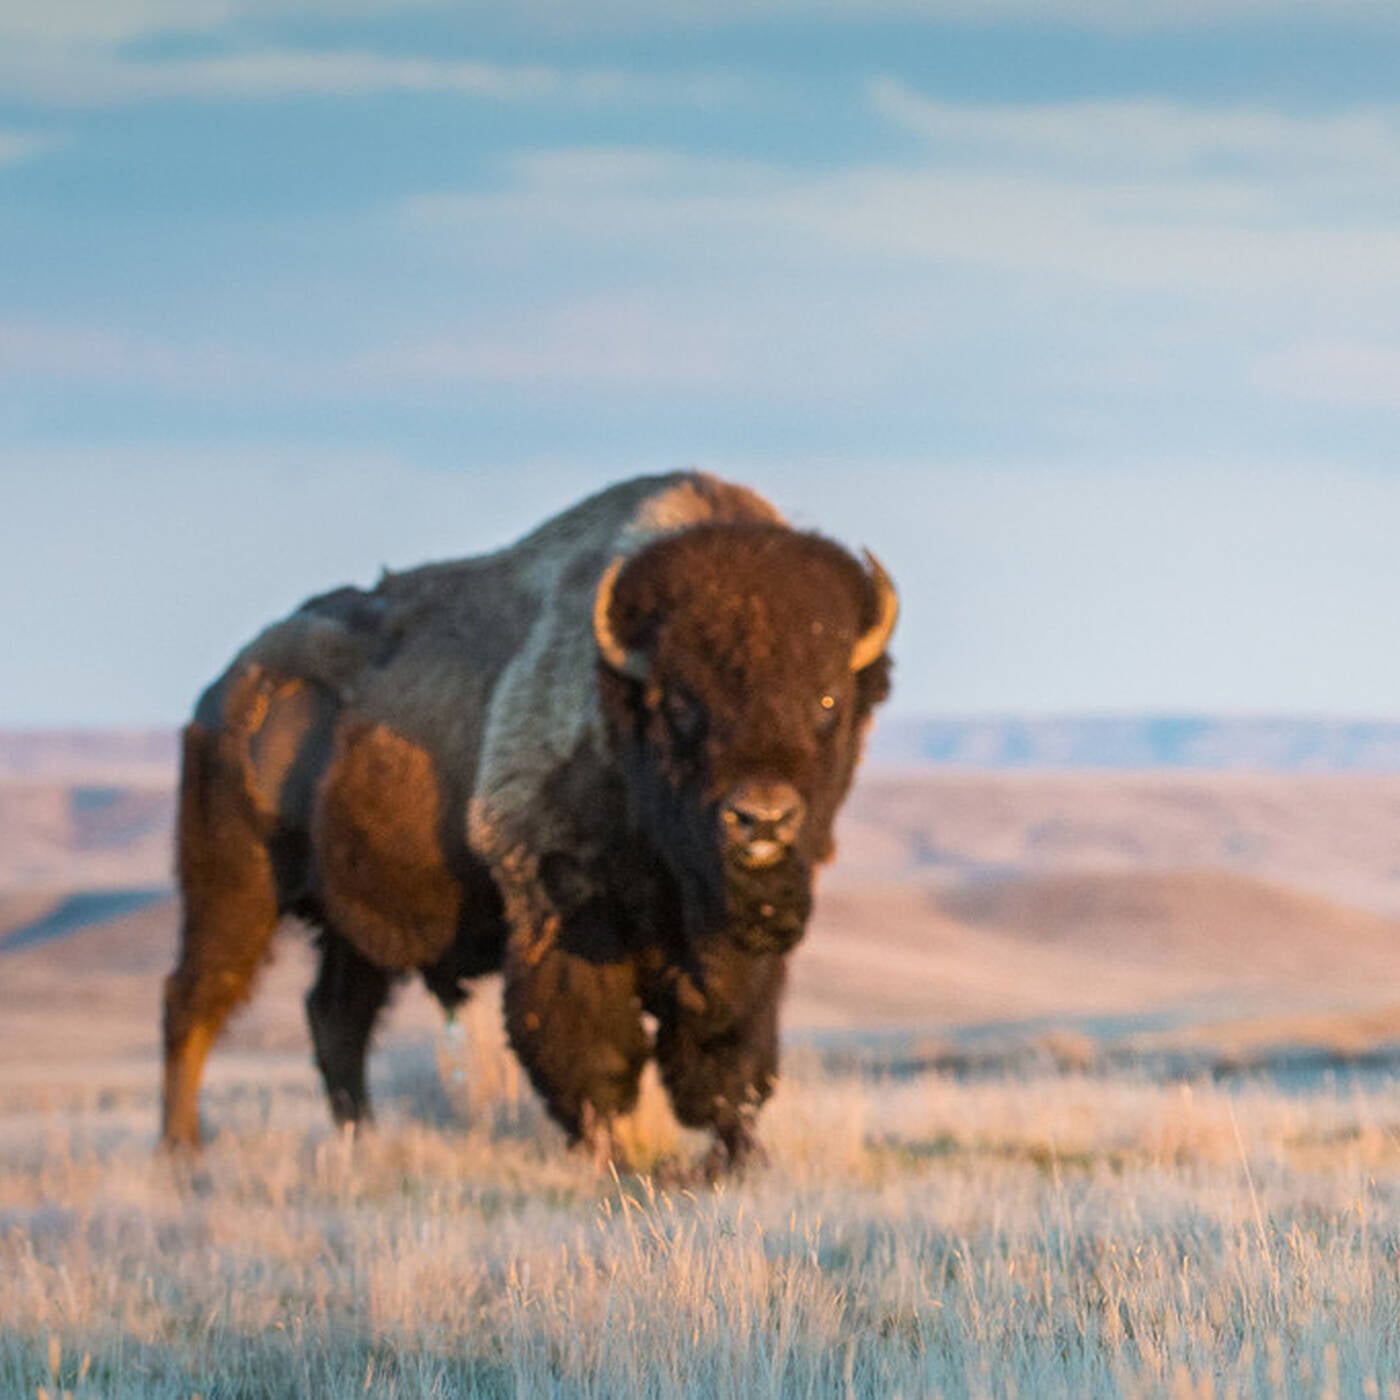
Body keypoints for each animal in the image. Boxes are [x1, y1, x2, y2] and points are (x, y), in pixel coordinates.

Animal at [161, 472, 896, 1170]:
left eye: (827, 698)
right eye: (681, 701)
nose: (761, 819)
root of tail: (223, 693)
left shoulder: (736, 959)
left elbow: (729, 1058)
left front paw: (740, 1157)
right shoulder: (561, 907)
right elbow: (593, 1052)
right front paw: (614, 1158)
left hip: (353, 926)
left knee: (336, 1016)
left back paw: (359, 1141)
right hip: (235, 890)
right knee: (196, 1000)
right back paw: (183, 1152)